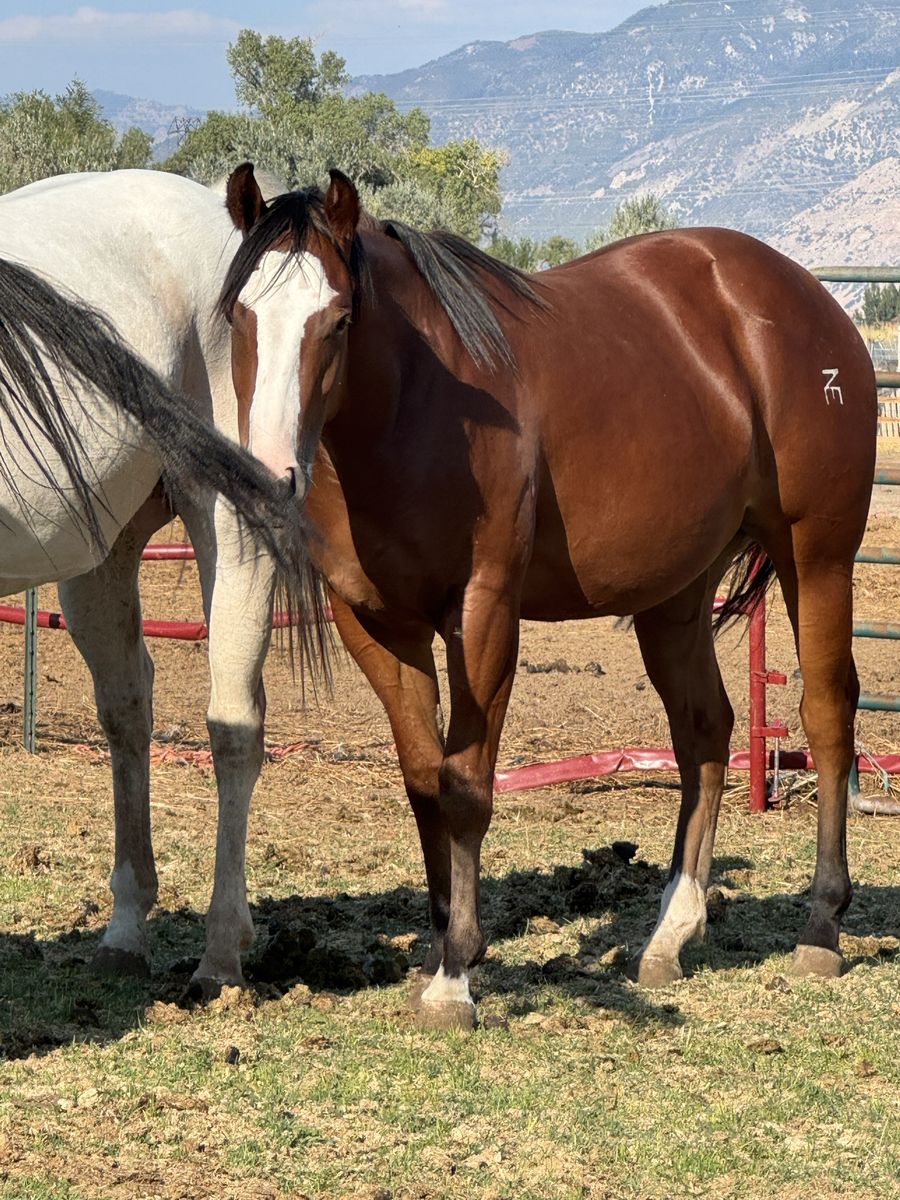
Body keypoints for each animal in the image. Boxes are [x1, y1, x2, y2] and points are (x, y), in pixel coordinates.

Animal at [0, 170, 329, 992]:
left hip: (233, 523)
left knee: (234, 727)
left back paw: (221, 954)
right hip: (103, 554)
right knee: (128, 709)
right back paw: (126, 928)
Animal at [221, 162, 877, 1028]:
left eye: (338, 319)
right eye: (239, 314)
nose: (270, 474)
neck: (418, 404)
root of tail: (809, 300)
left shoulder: (484, 614)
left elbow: (466, 787)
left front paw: (456, 976)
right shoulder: (377, 626)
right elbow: (424, 781)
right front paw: (446, 942)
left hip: (818, 556)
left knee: (828, 716)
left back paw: (821, 927)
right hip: (676, 594)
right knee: (705, 731)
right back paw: (671, 934)